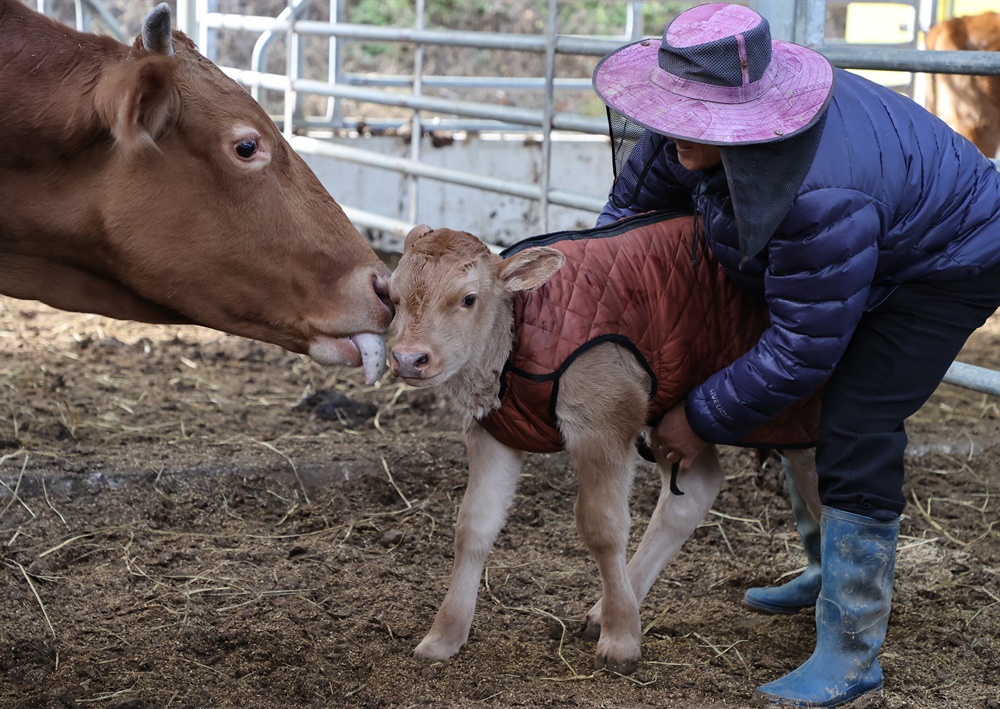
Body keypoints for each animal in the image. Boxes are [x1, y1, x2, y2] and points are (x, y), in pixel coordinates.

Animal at [386, 213, 816, 672]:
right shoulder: (492, 434)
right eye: (393, 296)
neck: (515, 343)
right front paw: (444, 636)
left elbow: (603, 527)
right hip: (672, 416)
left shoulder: (605, 422)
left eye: (468, 299)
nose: (409, 358)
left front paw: (622, 639)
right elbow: (473, 526)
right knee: (695, 489)